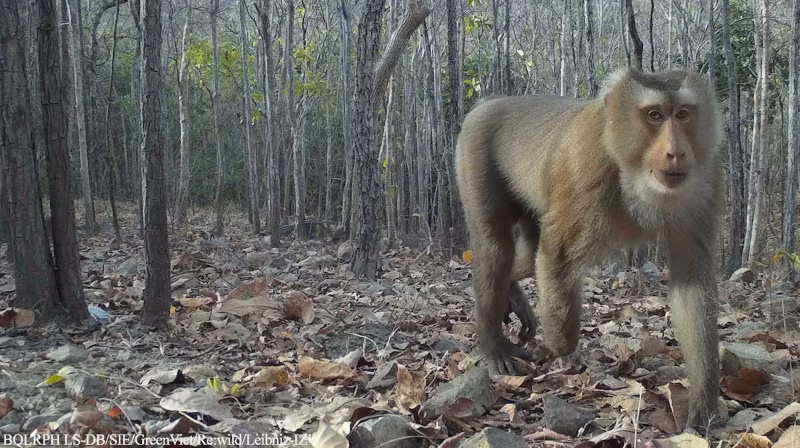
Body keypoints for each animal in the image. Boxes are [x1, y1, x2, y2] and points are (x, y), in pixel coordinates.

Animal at [454, 68, 724, 430]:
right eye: (654, 115)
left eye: (682, 113)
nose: (676, 152)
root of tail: (491, 102)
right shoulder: (586, 168)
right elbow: (558, 253)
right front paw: (557, 346)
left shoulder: (706, 183)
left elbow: (691, 283)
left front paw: (703, 401)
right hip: (474, 148)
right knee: (496, 249)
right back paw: (492, 344)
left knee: (525, 254)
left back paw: (512, 292)